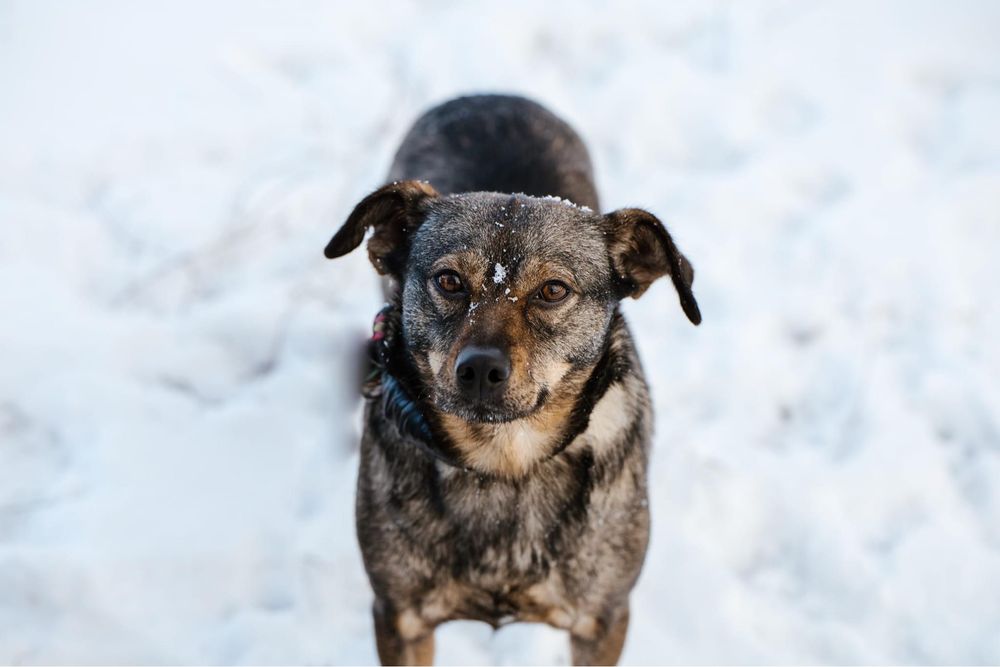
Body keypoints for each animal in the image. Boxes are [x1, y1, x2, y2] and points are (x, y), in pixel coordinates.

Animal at [324, 95, 700, 667]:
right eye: (449, 281)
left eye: (553, 290)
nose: (480, 369)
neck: (504, 461)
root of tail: (488, 93)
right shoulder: (400, 617)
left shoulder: (602, 618)